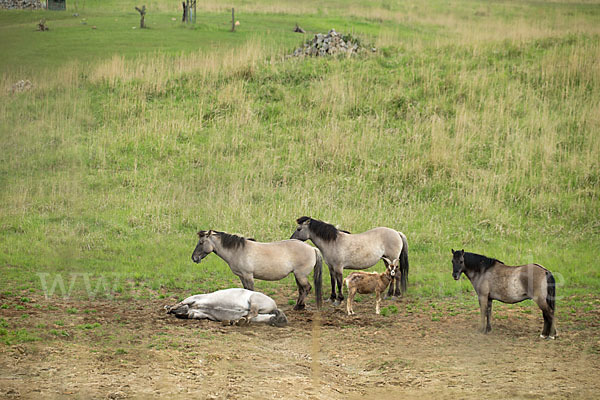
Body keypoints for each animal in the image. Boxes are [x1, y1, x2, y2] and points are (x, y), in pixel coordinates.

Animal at [192, 231, 324, 310]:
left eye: (201, 242)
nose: (194, 258)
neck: (238, 251)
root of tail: (312, 248)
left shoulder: (248, 276)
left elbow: (251, 291)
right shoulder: (242, 276)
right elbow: (245, 290)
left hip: (300, 275)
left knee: (307, 288)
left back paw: (298, 306)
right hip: (297, 275)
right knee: (302, 289)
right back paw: (299, 306)